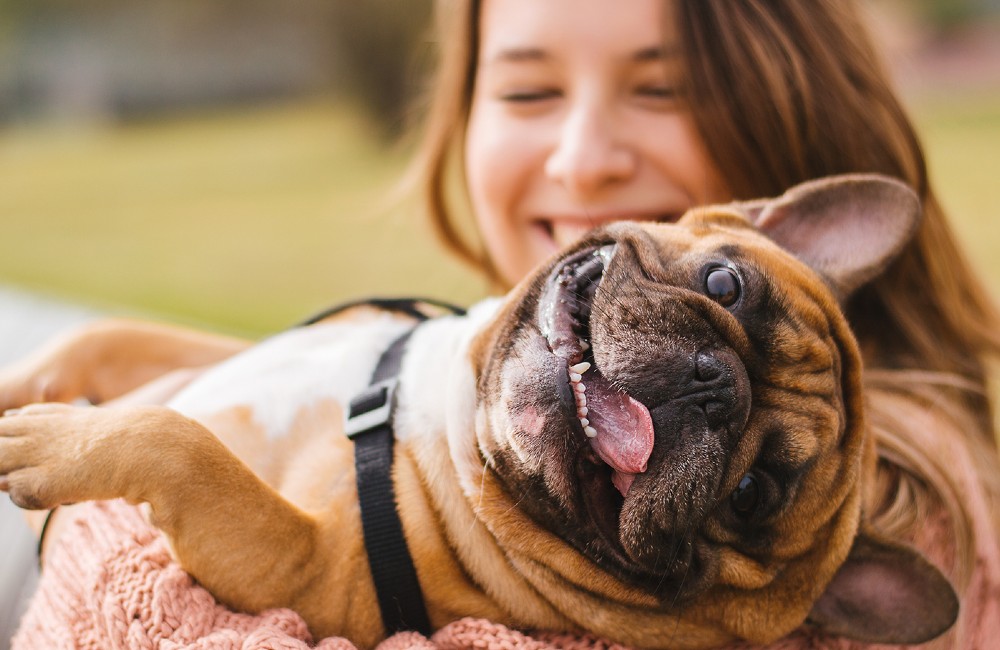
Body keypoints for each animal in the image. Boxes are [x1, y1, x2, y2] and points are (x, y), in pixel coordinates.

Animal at [0, 173, 956, 648]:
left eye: (754, 494)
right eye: (725, 284)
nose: (711, 383)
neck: (446, 414)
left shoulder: (301, 569)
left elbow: (183, 446)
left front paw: (47, 441)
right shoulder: (202, 357)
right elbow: (102, 341)